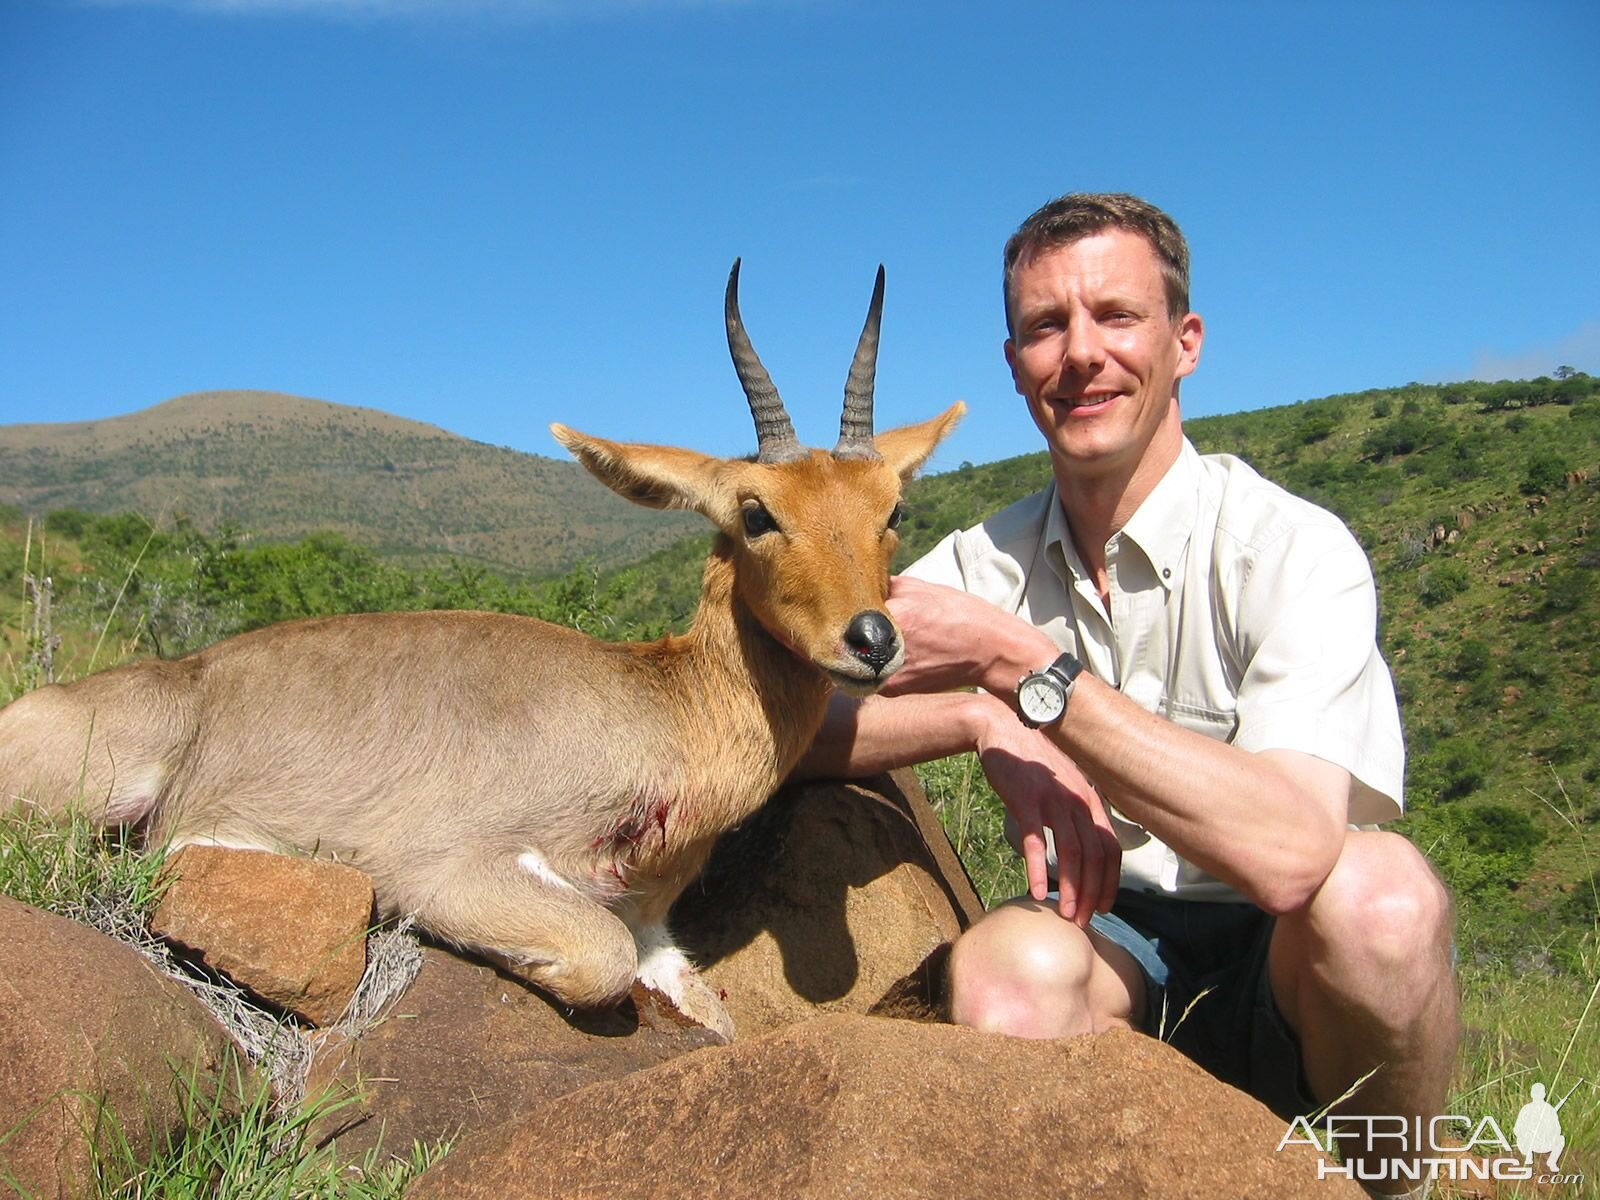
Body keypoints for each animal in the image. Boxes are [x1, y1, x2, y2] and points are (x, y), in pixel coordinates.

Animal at [0, 262, 960, 1043]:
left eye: (894, 508)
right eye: (757, 511)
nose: (873, 640)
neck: (657, 706)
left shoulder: (654, 925)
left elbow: (711, 1015)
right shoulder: (447, 869)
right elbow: (596, 957)